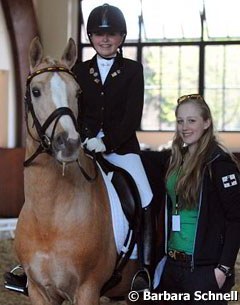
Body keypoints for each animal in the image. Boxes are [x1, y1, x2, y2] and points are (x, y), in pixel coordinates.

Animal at [13, 38, 141, 304]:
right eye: (36, 91)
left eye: (77, 92)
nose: (69, 143)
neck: (49, 218)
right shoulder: (39, 291)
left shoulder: (87, 290)